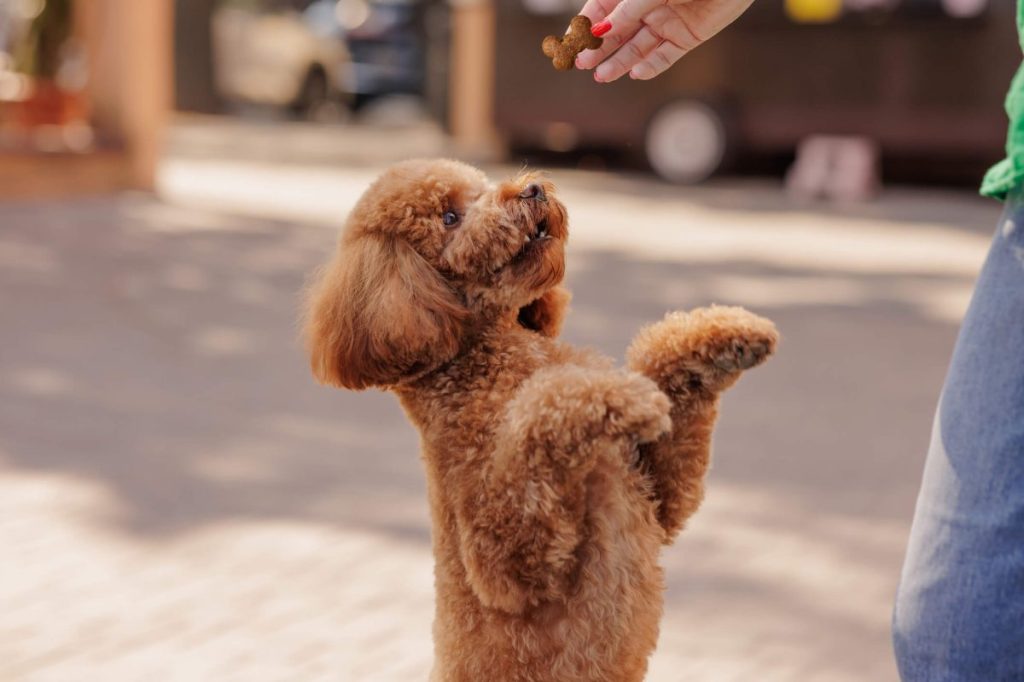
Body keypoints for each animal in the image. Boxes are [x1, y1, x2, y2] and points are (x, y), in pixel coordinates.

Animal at [303, 157, 774, 675]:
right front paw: (617, 397)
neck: (489, 360)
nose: (531, 189)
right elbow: (542, 414)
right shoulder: (504, 557)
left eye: (482, 188)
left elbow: (662, 373)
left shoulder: (655, 496)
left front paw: (728, 337)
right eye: (449, 218)